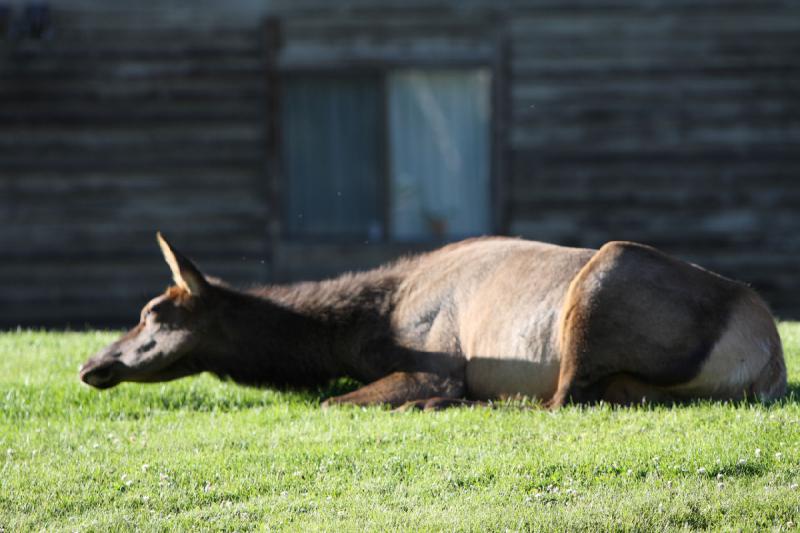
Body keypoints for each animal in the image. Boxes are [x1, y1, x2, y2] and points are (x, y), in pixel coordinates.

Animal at [78, 231, 784, 410]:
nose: (90, 364)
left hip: (601, 282)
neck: (359, 334)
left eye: (152, 314)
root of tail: (768, 359)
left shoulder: (436, 361)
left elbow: (331, 402)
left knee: (560, 400)